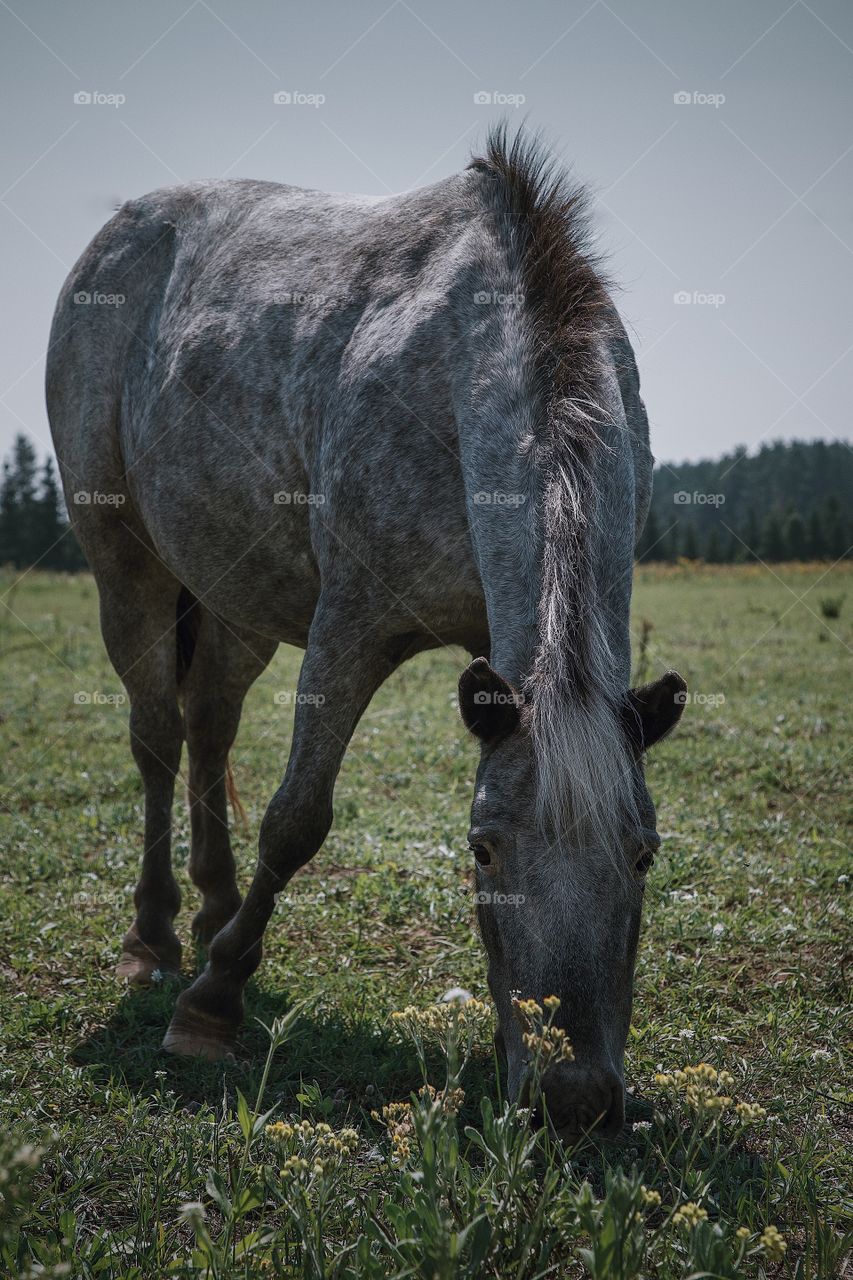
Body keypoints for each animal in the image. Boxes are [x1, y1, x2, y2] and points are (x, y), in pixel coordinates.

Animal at [46, 124, 686, 1136]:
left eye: (642, 853)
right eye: (482, 849)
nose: (574, 1098)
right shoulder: (350, 625)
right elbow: (295, 819)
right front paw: (211, 1006)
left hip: (234, 600)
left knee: (208, 724)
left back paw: (213, 910)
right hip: (127, 570)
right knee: (155, 738)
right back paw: (155, 939)